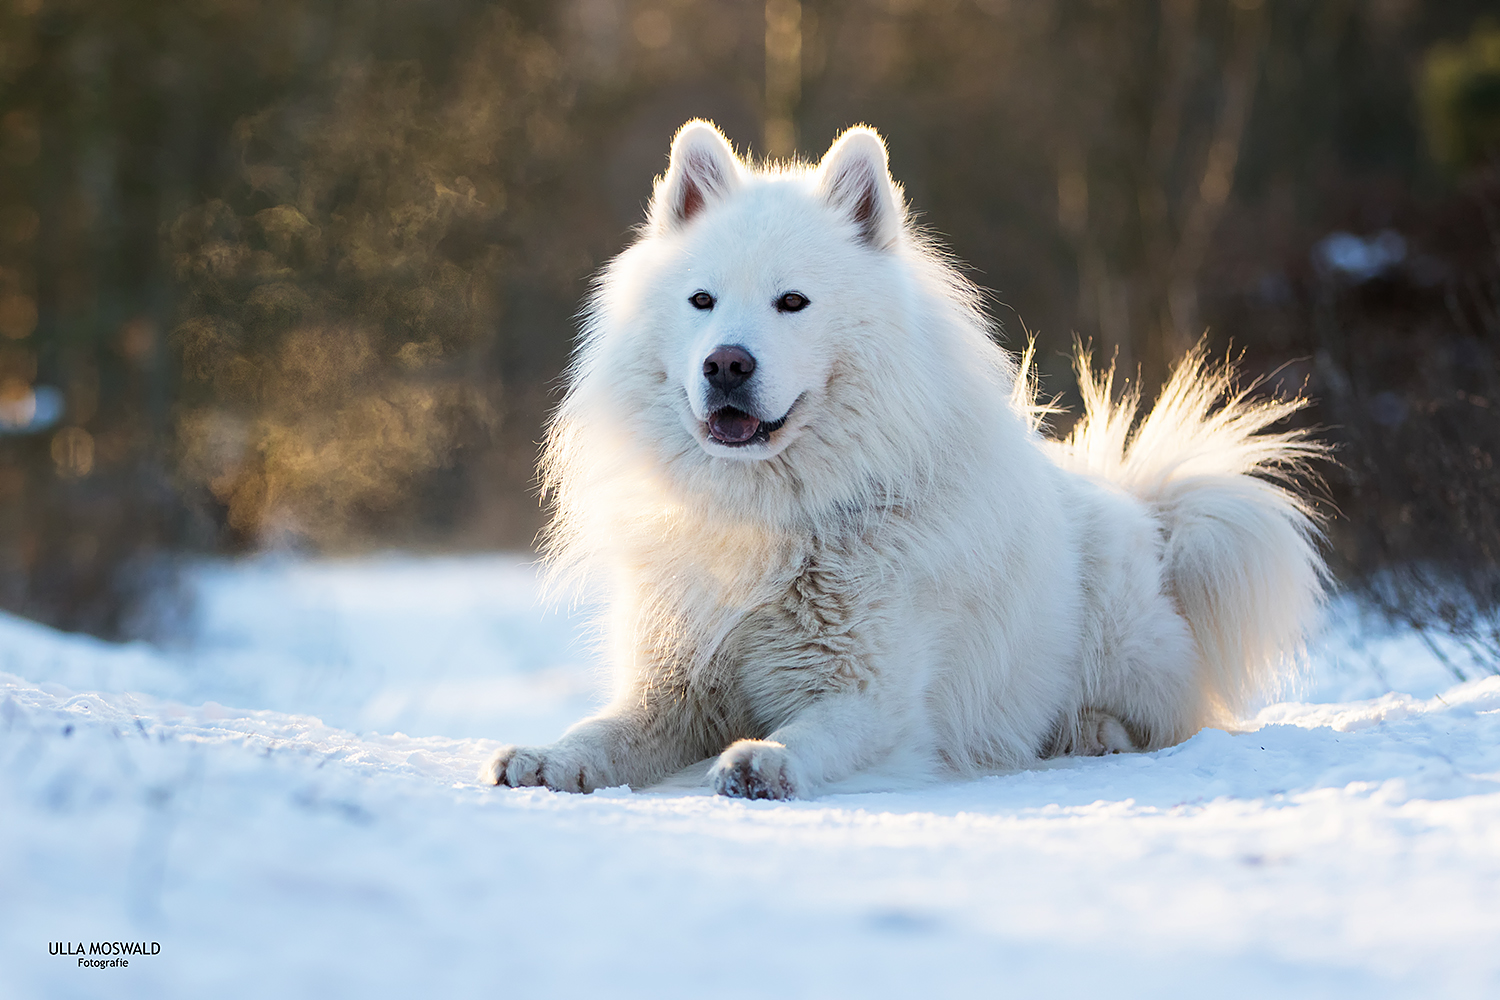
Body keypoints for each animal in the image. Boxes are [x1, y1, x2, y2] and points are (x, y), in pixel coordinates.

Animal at [483, 121, 1326, 803]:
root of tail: (1144, 509)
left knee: (1166, 717)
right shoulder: (674, 688)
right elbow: (604, 731)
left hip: (1119, 643)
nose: (725, 364)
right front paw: (547, 759)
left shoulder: (874, 698)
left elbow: (813, 735)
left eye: (793, 302)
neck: (770, 518)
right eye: (702, 301)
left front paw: (763, 761)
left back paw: (1091, 733)